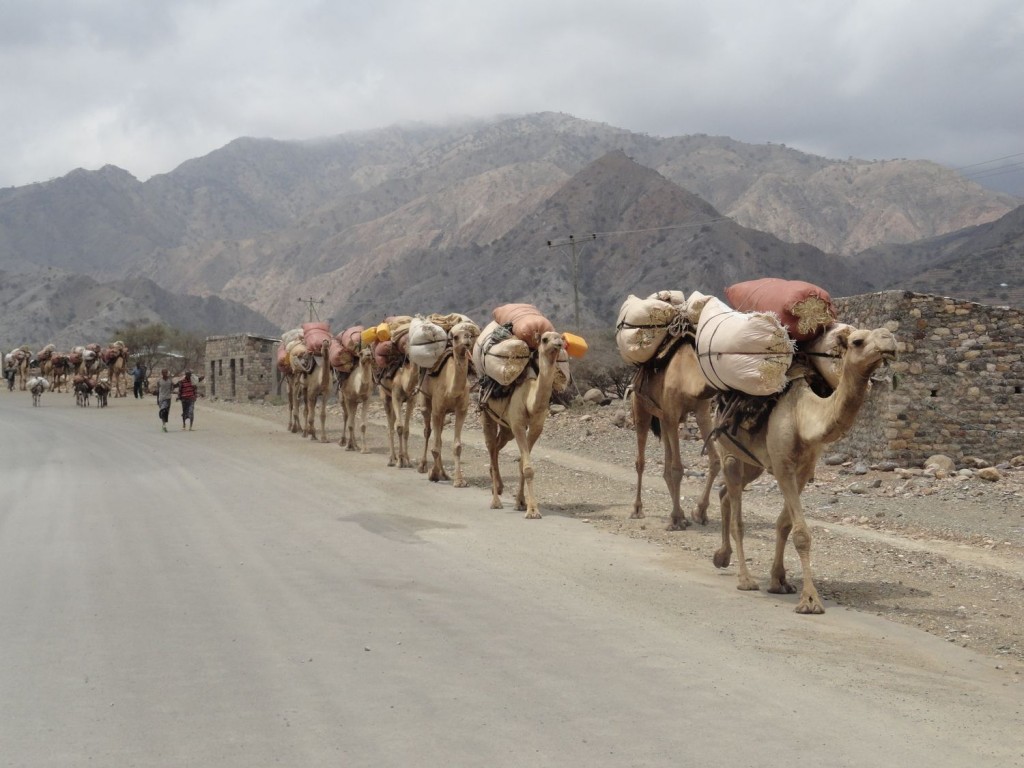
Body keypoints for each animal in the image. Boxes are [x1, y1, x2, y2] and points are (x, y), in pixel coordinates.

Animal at [415, 323, 479, 487]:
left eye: (469, 335)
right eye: (456, 337)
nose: (467, 340)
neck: (451, 389)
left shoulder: (461, 410)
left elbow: (456, 446)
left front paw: (459, 480)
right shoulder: (437, 410)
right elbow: (436, 446)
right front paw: (433, 474)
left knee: (440, 437)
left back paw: (444, 474)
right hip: (425, 402)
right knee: (428, 431)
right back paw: (423, 466)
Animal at [481, 331, 569, 520]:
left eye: (560, 337)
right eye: (544, 339)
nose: (558, 344)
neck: (530, 399)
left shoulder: (536, 427)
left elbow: (522, 464)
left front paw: (521, 503)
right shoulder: (518, 425)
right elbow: (527, 467)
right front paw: (533, 511)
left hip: (506, 427)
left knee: (497, 446)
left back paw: (499, 487)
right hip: (487, 413)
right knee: (491, 447)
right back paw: (495, 501)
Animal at [630, 339, 720, 532]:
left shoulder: (702, 412)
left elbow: (715, 461)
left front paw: (699, 513)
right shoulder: (672, 415)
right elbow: (677, 468)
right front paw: (676, 520)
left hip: (663, 418)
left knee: (666, 466)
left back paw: (682, 515)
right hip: (641, 409)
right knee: (640, 461)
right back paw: (637, 510)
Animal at [712, 327, 897, 618]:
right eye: (857, 341)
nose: (890, 339)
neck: (802, 415)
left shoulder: (803, 469)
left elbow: (785, 524)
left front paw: (779, 581)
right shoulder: (782, 466)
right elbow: (801, 533)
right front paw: (810, 600)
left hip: (753, 463)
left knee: (724, 494)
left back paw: (722, 556)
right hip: (728, 452)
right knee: (737, 517)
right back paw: (745, 578)